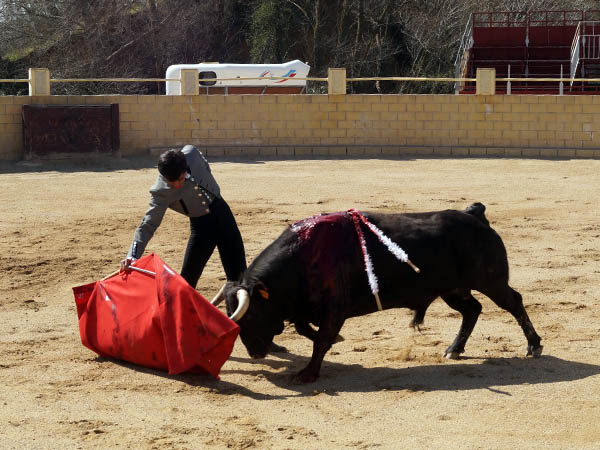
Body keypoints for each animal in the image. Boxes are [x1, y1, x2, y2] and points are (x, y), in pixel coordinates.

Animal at [213, 204, 540, 384]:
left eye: (250, 315)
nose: (255, 354)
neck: (303, 257)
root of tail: (475, 215)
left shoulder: (335, 307)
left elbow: (321, 340)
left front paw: (307, 373)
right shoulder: (307, 308)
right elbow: (308, 328)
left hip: (491, 281)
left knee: (513, 302)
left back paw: (533, 346)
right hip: (452, 289)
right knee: (472, 310)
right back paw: (454, 349)